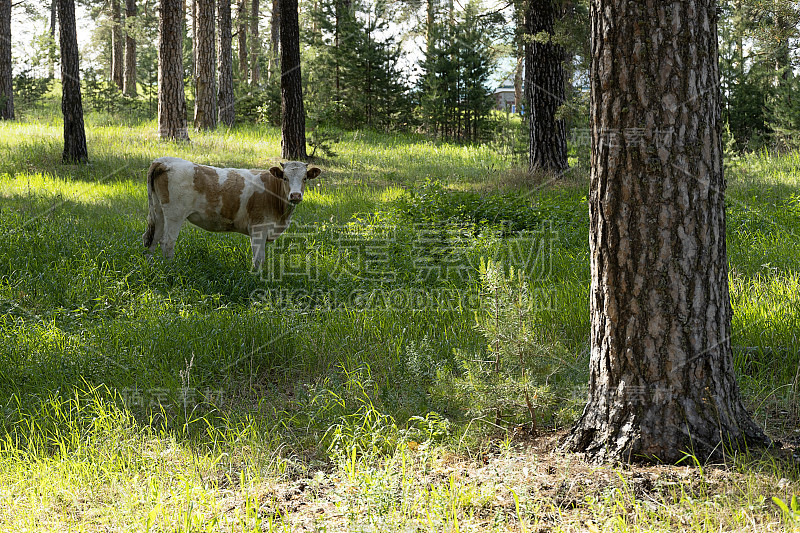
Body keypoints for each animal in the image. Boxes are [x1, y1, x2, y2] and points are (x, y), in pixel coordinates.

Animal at [144, 156, 322, 268]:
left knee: (152, 239)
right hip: (175, 214)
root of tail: (164, 161)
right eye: (285, 178)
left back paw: (151, 267)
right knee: (167, 242)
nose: (296, 195)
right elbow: (259, 258)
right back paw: (171, 269)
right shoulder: (259, 228)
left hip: (158, 211)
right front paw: (257, 278)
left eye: (305, 178)